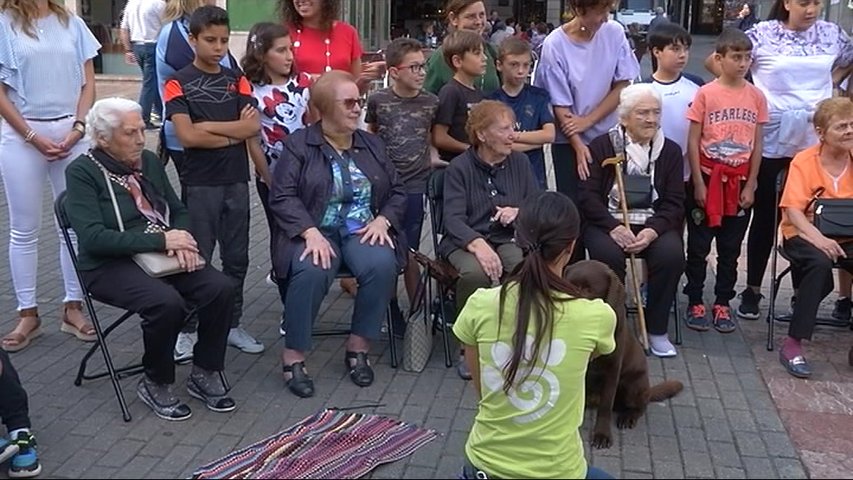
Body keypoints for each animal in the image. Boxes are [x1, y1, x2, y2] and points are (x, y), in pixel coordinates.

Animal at [564, 260, 684, 448]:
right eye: (567, 284)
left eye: (589, 290)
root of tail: (648, 390)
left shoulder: (613, 369)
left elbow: (606, 405)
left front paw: (602, 435)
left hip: (632, 385)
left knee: (639, 406)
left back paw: (628, 417)